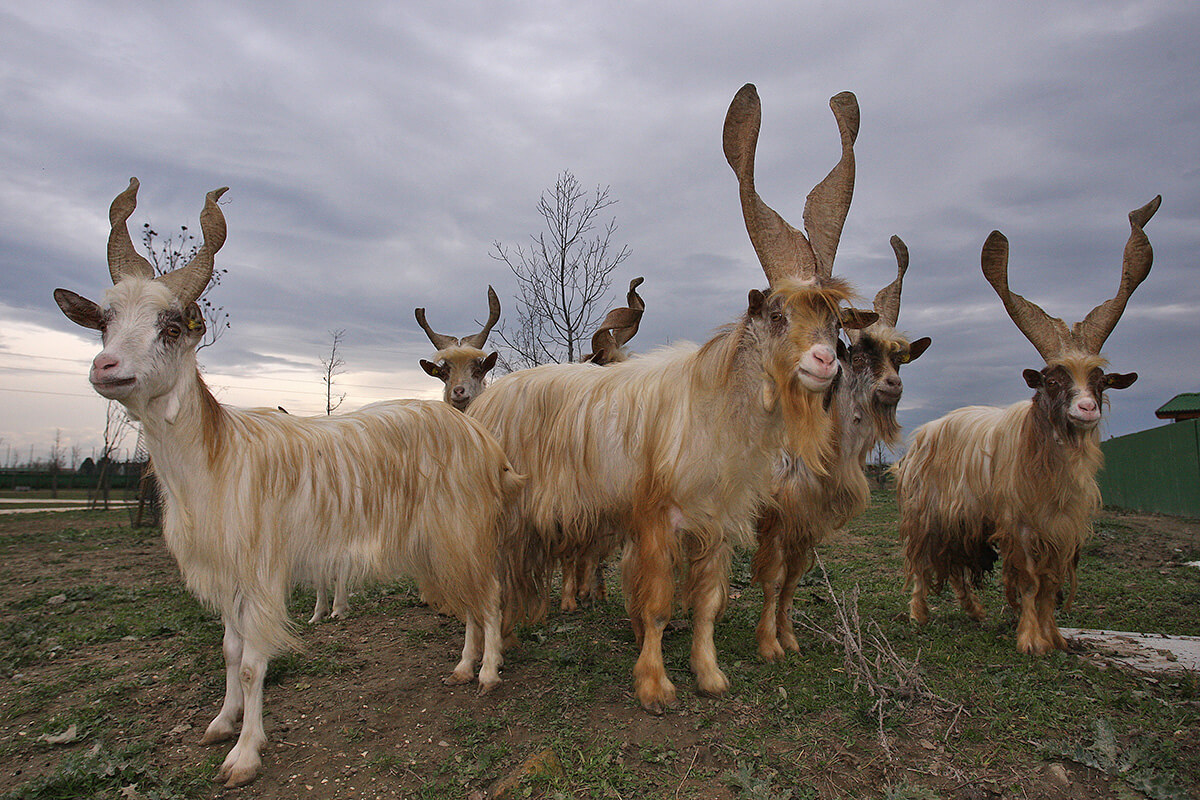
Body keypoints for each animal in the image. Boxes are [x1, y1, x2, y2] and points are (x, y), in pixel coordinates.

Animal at [468, 84, 877, 713]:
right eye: (777, 313)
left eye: (835, 322)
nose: (823, 362)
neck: (715, 410)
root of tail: (485, 401)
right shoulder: (657, 519)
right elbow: (658, 606)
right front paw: (655, 686)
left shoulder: (717, 523)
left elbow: (707, 604)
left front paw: (709, 674)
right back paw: (477, 665)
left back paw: (508, 638)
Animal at [753, 235, 931, 660]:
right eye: (862, 356)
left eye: (899, 359)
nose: (892, 385)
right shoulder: (776, 515)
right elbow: (771, 577)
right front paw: (769, 645)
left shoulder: (807, 522)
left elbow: (792, 580)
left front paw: (789, 638)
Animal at [895, 196, 1159, 655]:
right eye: (1052, 380)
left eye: (1101, 381)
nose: (1086, 409)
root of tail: (924, 433)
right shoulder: (1019, 526)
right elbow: (1032, 582)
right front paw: (1031, 640)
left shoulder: (1062, 529)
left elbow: (1050, 584)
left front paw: (1055, 637)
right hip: (927, 514)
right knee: (922, 563)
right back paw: (919, 614)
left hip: (965, 522)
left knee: (957, 570)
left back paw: (975, 612)